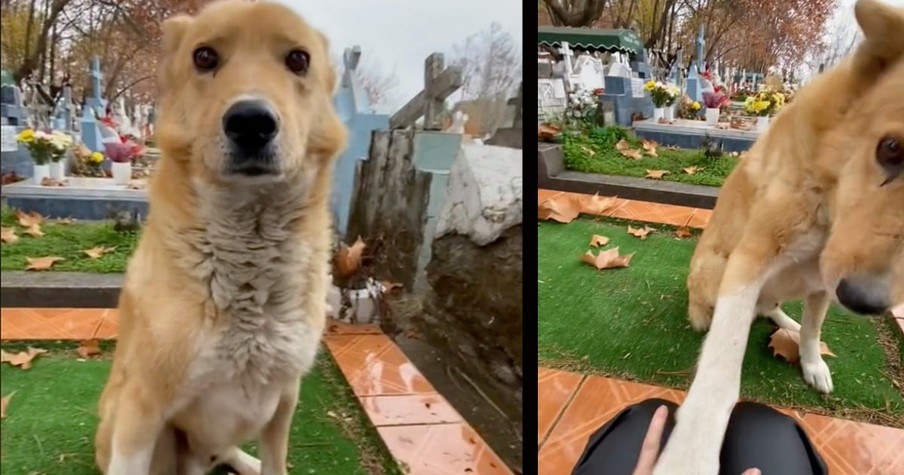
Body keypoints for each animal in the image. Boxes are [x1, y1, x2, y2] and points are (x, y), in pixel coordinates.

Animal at [92, 1, 346, 474]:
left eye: (297, 59)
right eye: (205, 57)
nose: (251, 122)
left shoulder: (284, 400)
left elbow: (276, 464)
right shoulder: (142, 408)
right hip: (142, 426)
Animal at [656, 1, 904, 474]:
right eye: (892, 148)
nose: (863, 301)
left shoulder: (824, 282)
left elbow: (812, 329)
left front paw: (811, 361)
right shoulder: (750, 259)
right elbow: (720, 369)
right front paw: (691, 452)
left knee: (773, 309)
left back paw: (785, 322)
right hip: (716, 267)